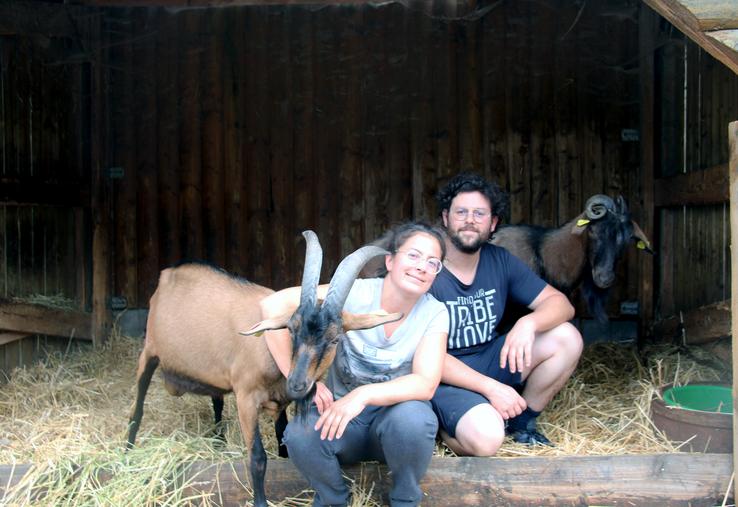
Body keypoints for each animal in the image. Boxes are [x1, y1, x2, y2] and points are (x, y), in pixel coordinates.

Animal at [128, 233, 402, 507]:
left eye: (335, 339)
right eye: (291, 328)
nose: (297, 384)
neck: (271, 350)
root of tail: (168, 274)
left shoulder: (279, 401)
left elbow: (282, 441)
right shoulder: (246, 399)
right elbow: (258, 459)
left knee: (216, 401)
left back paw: (218, 441)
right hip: (149, 352)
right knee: (137, 410)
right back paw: (128, 453)